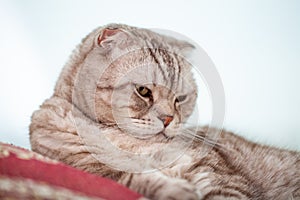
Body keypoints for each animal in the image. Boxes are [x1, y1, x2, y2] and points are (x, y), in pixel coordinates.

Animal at [29, 23, 298, 200]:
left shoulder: (213, 172)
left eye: (180, 99)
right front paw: (177, 190)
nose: (168, 119)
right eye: (143, 91)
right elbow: (136, 178)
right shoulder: (96, 171)